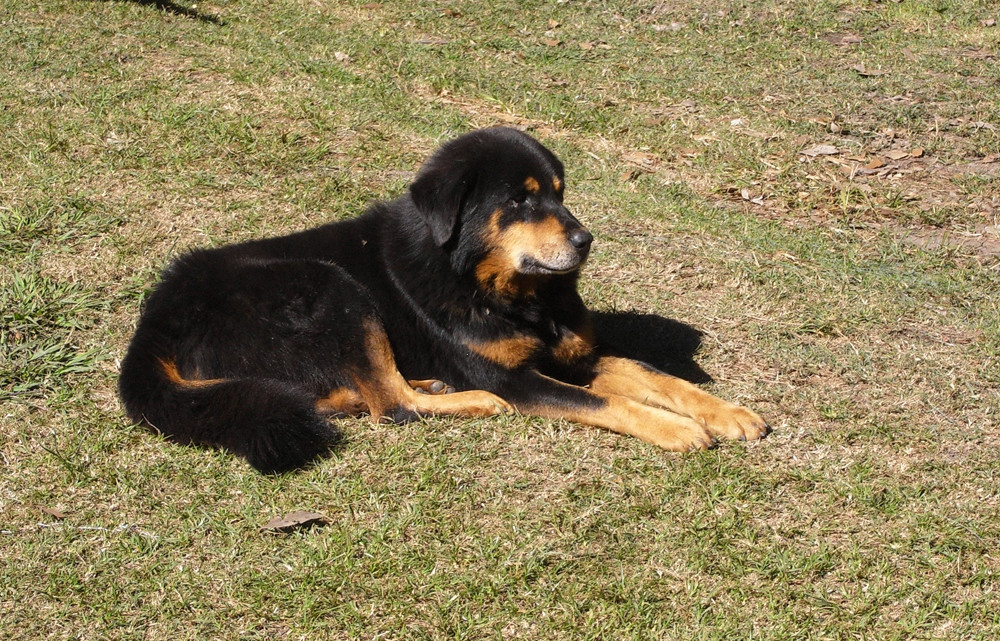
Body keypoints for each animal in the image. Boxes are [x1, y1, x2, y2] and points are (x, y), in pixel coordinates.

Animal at [119, 127, 772, 472]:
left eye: (560, 194)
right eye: (520, 200)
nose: (586, 240)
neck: (498, 290)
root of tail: (156, 321)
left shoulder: (578, 356)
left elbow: (654, 374)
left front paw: (726, 412)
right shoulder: (517, 379)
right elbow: (610, 403)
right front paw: (676, 429)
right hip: (331, 285)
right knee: (391, 406)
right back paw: (467, 401)